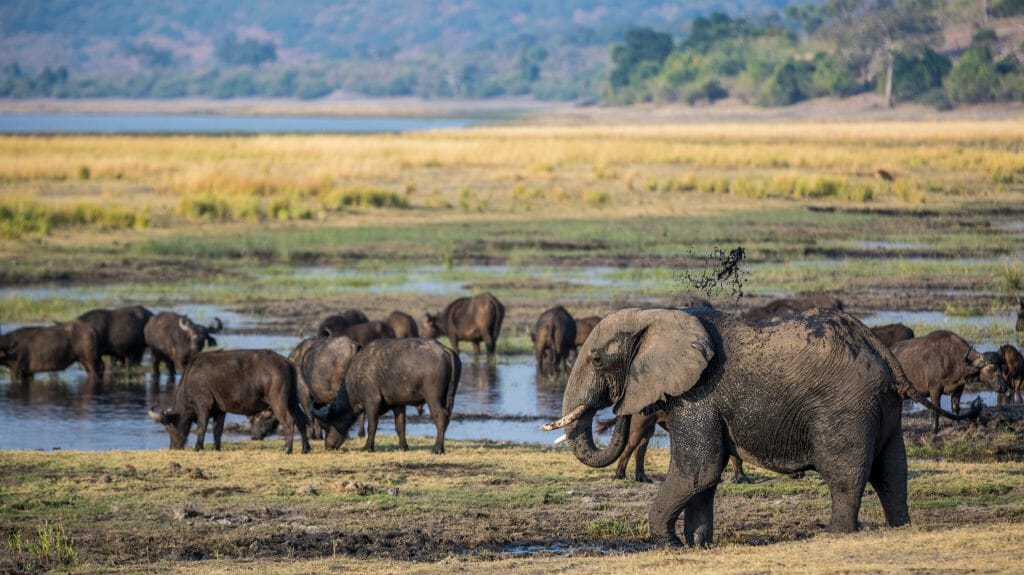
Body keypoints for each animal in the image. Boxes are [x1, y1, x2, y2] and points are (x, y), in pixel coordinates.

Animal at [543, 307, 980, 547]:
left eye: (597, 360)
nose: (619, 405)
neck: (659, 315)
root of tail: (881, 348)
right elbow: (705, 478)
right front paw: (698, 545)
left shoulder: (698, 394)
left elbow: (698, 470)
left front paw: (667, 542)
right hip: (883, 406)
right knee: (892, 471)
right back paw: (899, 527)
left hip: (845, 406)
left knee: (845, 473)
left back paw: (836, 533)